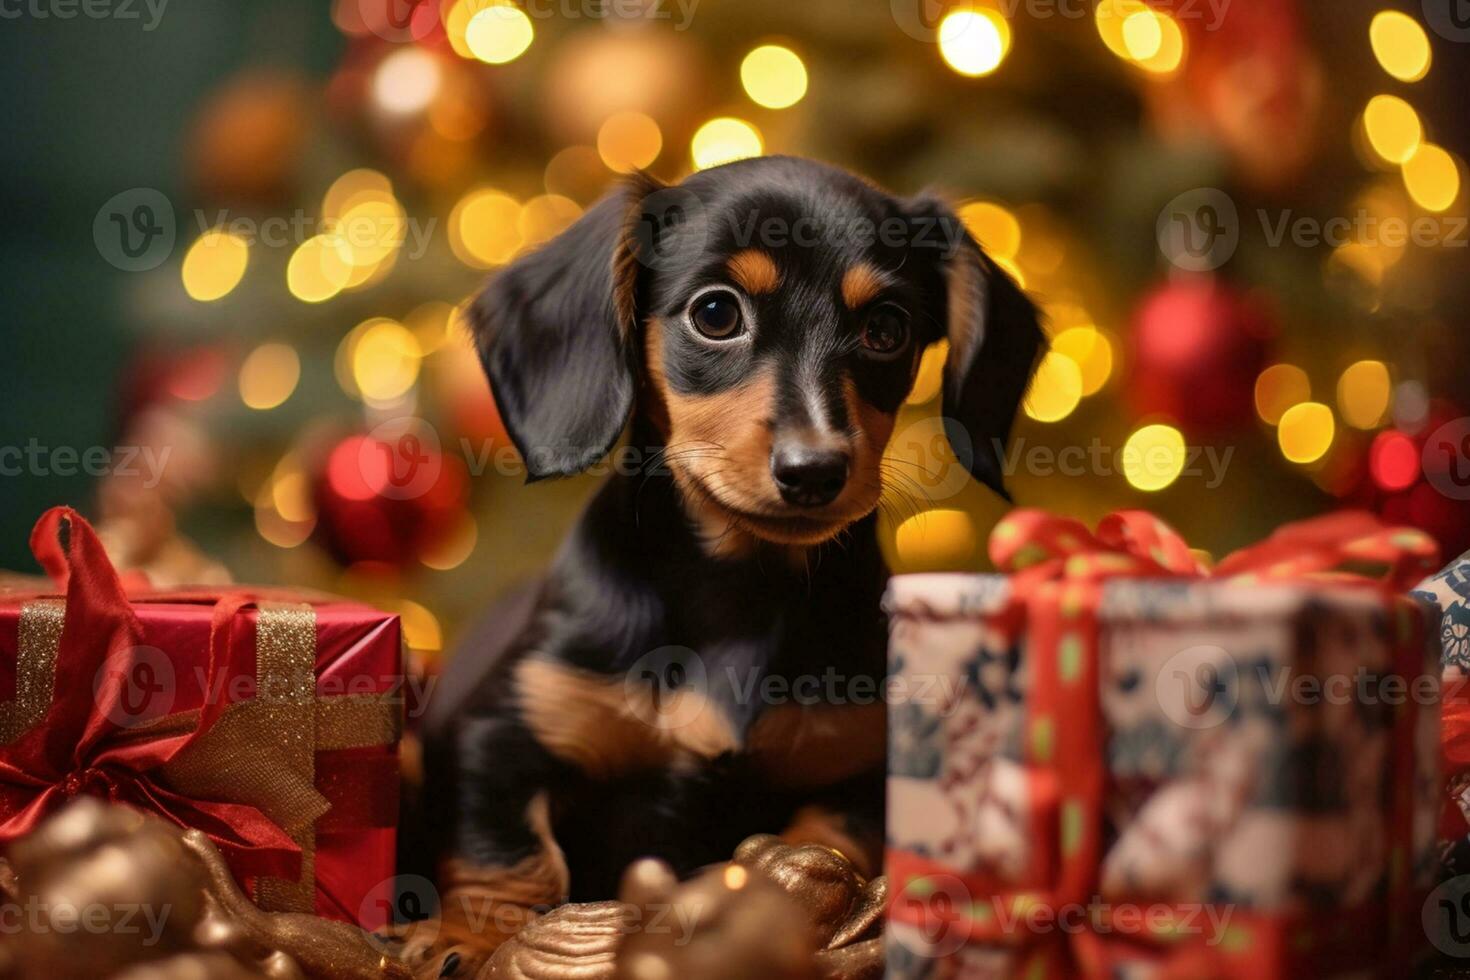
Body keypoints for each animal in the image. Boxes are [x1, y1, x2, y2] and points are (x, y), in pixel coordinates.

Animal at [423, 157, 1046, 946]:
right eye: (716, 314)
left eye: (885, 328)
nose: (814, 471)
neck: (738, 585)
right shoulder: (501, 732)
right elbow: (506, 859)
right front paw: (462, 945)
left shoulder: (863, 771)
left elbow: (824, 849)